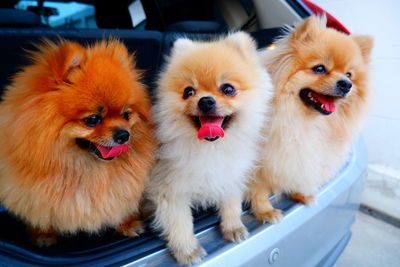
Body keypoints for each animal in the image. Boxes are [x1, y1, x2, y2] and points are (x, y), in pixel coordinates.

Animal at [0, 39, 157, 247]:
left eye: (126, 115)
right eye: (93, 119)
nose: (124, 134)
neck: (82, 168)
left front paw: (128, 223)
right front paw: (42, 233)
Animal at [145, 32, 274, 264]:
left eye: (228, 89)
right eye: (188, 92)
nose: (205, 101)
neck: (211, 148)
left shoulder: (230, 175)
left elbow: (231, 203)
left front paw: (233, 227)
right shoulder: (170, 191)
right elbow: (180, 223)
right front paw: (187, 250)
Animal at [250, 15, 376, 223]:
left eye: (349, 74)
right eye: (319, 68)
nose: (346, 84)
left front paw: (302, 194)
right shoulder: (259, 162)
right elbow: (258, 189)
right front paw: (265, 211)